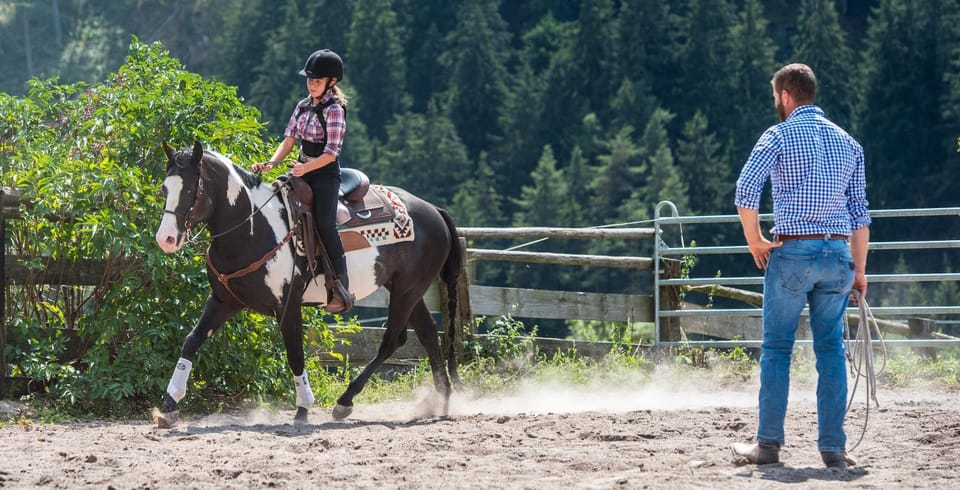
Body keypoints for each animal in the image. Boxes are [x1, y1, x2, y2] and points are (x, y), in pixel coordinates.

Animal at [153, 141, 464, 427]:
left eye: (192, 189)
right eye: (165, 189)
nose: (165, 239)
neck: (253, 228)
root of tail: (433, 210)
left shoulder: (288, 306)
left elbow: (295, 354)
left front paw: (303, 408)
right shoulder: (223, 301)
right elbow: (192, 341)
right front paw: (169, 405)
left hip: (407, 290)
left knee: (392, 340)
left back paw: (345, 401)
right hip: (408, 290)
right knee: (427, 334)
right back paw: (441, 401)